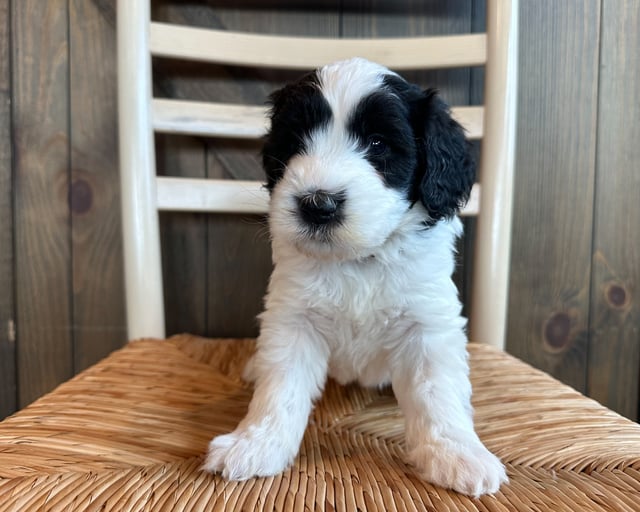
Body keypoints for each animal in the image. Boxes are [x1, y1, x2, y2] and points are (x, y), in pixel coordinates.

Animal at [202, 58, 508, 498]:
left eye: (378, 144)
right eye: (296, 140)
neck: (359, 258)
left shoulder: (427, 324)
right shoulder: (293, 320)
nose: (318, 204)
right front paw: (256, 443)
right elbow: (280, 387)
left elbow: (437, 392)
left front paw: (456, 453)